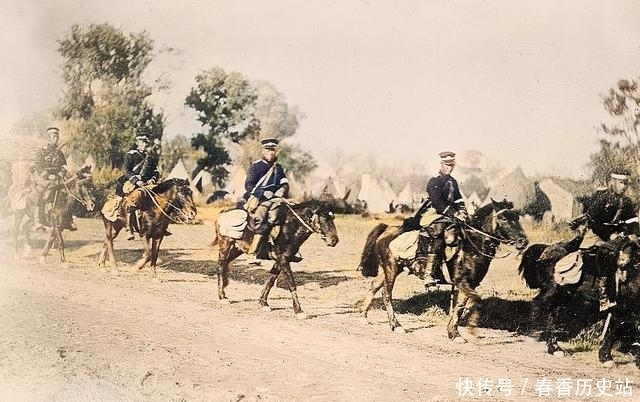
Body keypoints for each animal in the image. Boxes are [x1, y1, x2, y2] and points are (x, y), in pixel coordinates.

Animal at [358, 198, 528, 340]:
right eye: (504, 218)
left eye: (517, 217)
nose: (523, 241)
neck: (472, 245)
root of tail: (387, 229)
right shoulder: (461, 281)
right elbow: (475, 301)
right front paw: (470, 330)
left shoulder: (470, 283)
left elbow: (460, 306)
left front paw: (453, 332)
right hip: (391, 269)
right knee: (386, 294)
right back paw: (396, 325)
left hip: (391, 269)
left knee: (374, 286)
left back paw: (363, 315)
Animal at [516, 226, 636, 364]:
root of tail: (546, 249)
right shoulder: (624, 305)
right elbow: (617, 327)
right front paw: (606, 357)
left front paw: (605, 355)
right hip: (552, 291)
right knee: (539, 306)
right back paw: (538, 336)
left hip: (563, 295)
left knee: (551, 314)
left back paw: (555, 348)